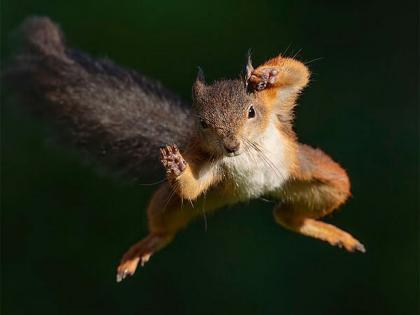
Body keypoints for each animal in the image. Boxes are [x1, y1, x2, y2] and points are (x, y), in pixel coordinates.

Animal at [7, 17, 364, 284]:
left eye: (251, 111)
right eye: (203, 123)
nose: (231, 145)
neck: (246, 151)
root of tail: (260, 192)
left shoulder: (277, 107)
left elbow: (298, 72)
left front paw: (266, 73)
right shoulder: (211, 165)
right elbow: (193, 186)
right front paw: (176, 166)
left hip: (318, 177)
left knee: (294, 213)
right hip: (183, 202)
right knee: (175, 222)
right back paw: (146, 245)